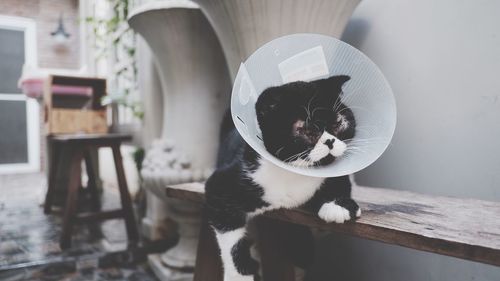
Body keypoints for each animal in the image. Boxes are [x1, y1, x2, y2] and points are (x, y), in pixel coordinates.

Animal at [205, 74, 362, 280]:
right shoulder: (221, 184)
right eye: (307, 130)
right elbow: (231, 238)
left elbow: (340, 180)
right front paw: (238, 275)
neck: (294, 172)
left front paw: (338, 205)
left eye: (337, 123)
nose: (330, 141)